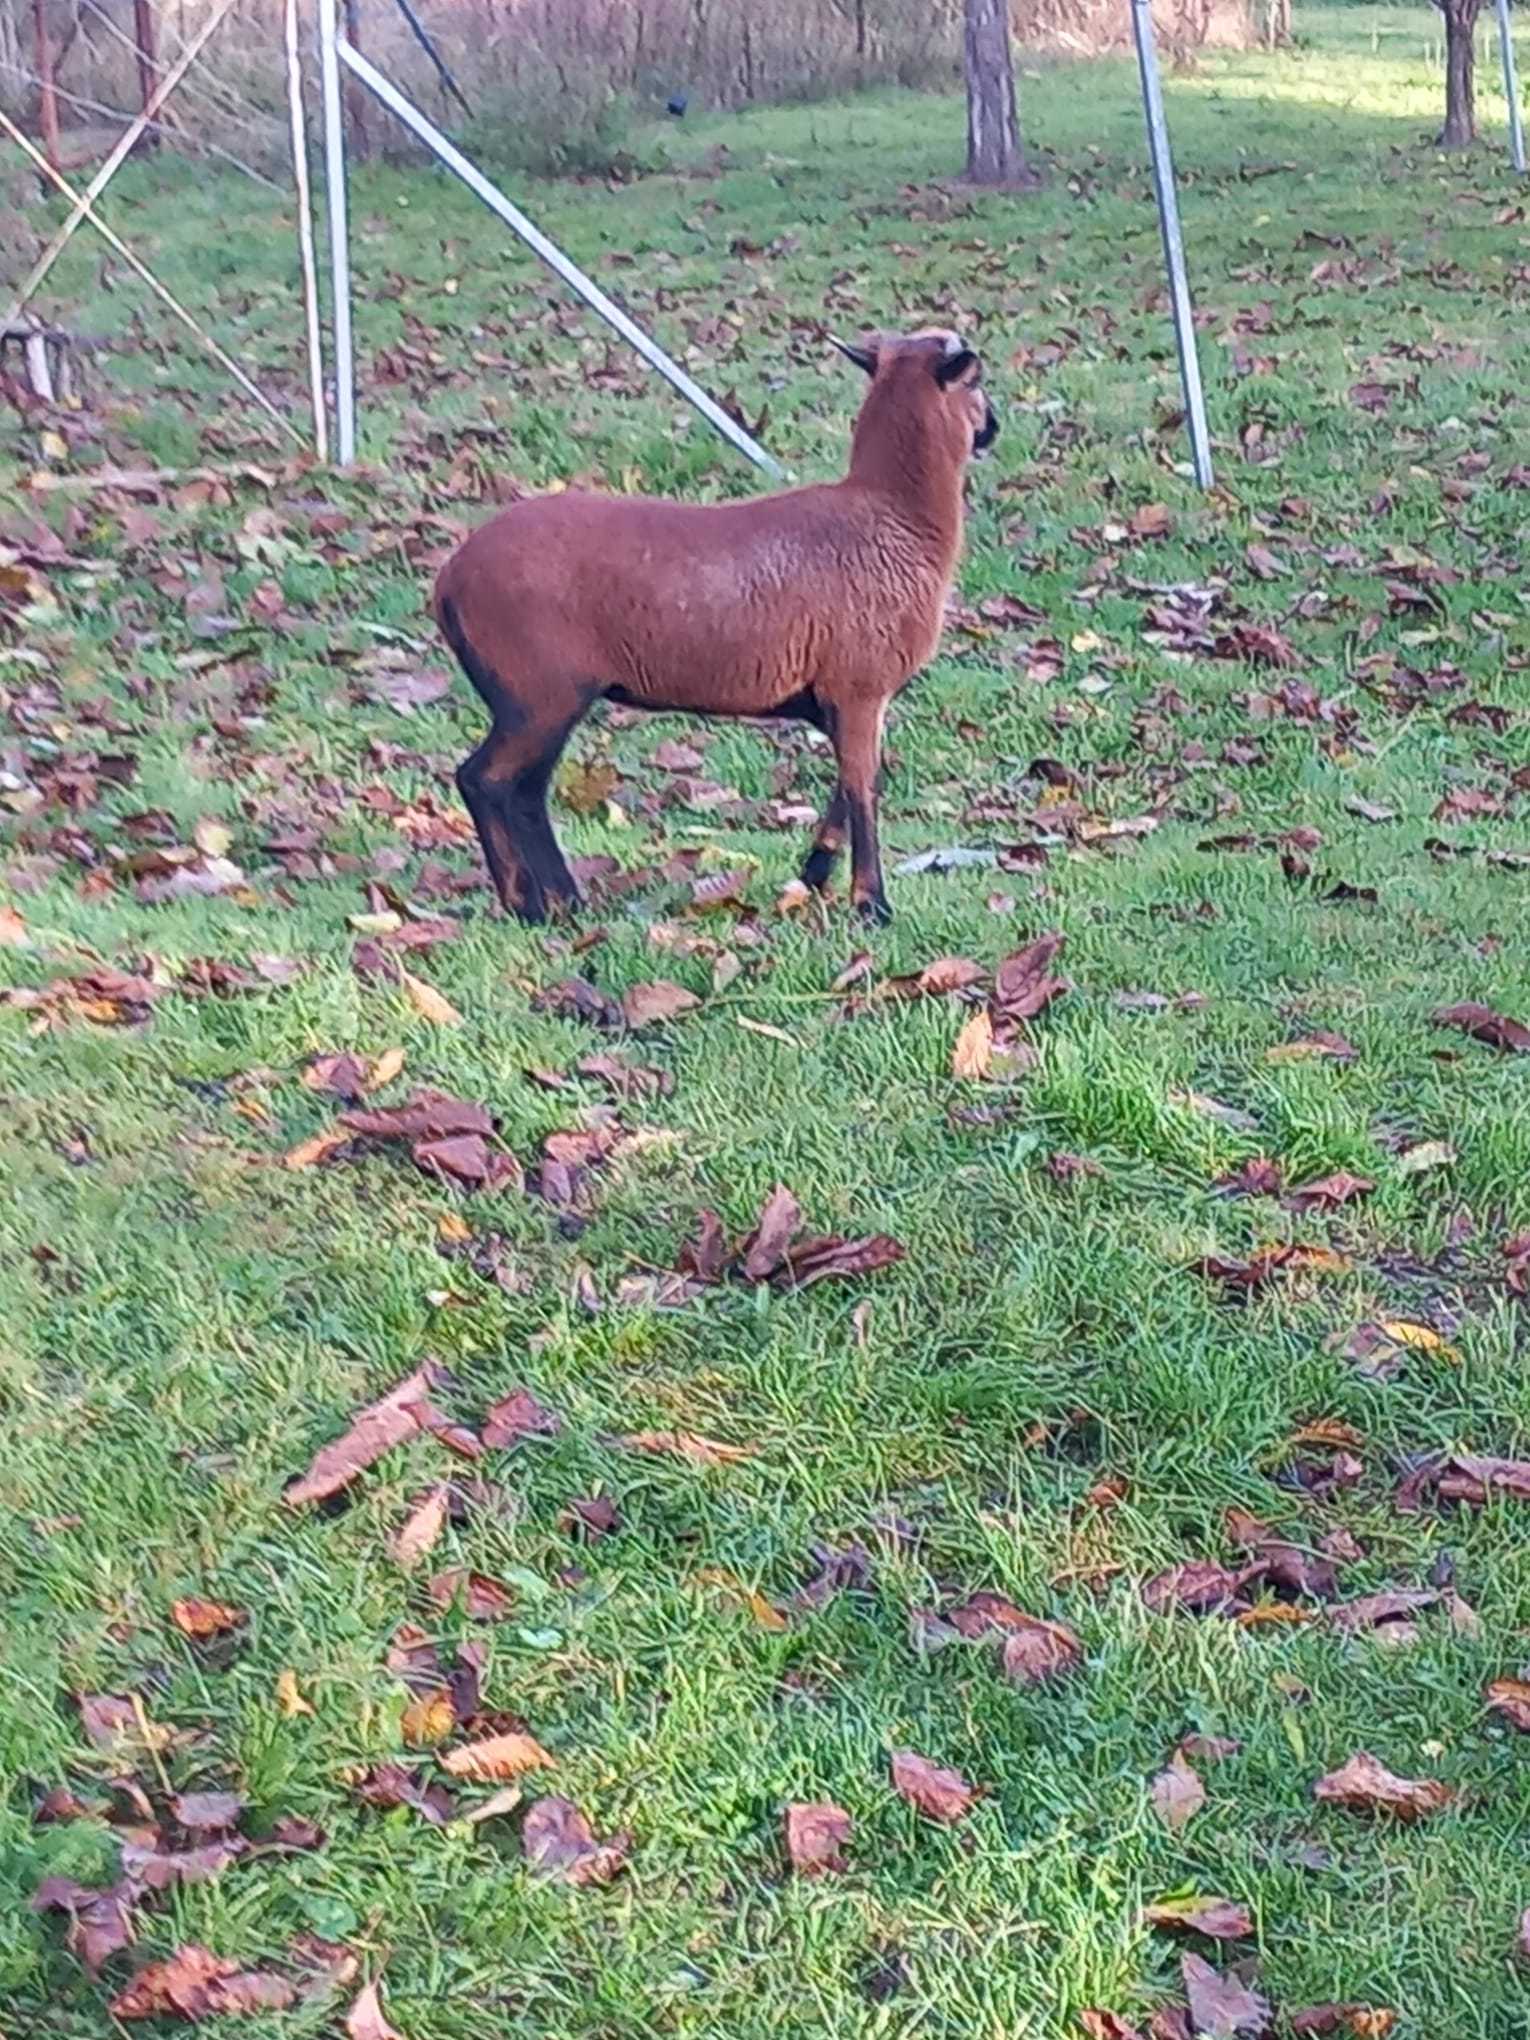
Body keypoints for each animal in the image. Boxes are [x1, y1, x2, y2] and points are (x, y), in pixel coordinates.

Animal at [436, 326, 999, 926]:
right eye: (976, 380)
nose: (993, 428)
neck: (895, 514)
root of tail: (448, 580)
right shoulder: (860, 686)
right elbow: (864, 788)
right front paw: (871, 903)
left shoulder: (841, 697)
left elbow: (848, 786)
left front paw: (814, 874)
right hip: (538, 692)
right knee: (486, 780)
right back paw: (527, 904)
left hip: (540, 698)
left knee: (525, 791)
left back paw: (564, 902)